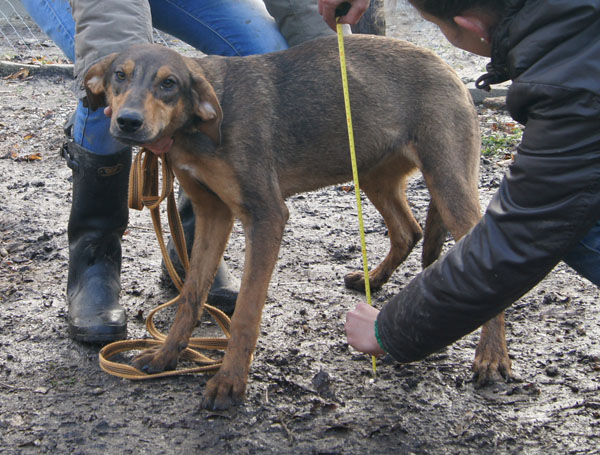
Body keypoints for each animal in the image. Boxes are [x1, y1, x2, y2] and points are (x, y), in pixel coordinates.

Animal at [85, 35, 510, 410]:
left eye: (169, 83)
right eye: (119, 76)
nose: (127, 122)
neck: (199, 128)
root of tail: (446, 66)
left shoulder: (267, 216)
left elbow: (246, 313)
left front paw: (229, 382)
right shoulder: (213, 214)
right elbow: (191, 296)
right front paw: (166, 356)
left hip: (447, 181)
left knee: (485, 261)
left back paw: (491, 356)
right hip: (373, 173)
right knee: (409, 231)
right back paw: (373, 280)